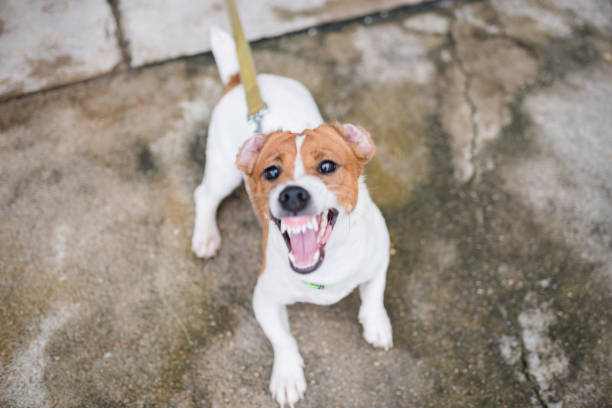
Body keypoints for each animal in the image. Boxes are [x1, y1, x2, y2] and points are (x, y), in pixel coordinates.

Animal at [192, 27, 392, 406]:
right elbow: (282, 339)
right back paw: (205, 236)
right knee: (205, 195)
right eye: (271, 172)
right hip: (223, 170)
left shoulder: (381, 260)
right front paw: (287, 375)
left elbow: (373, 295)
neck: (326, 266)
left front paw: (376, 324)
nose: (293, 194)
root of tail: (240, 82)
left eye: (327, 166)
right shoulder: (264, 299)